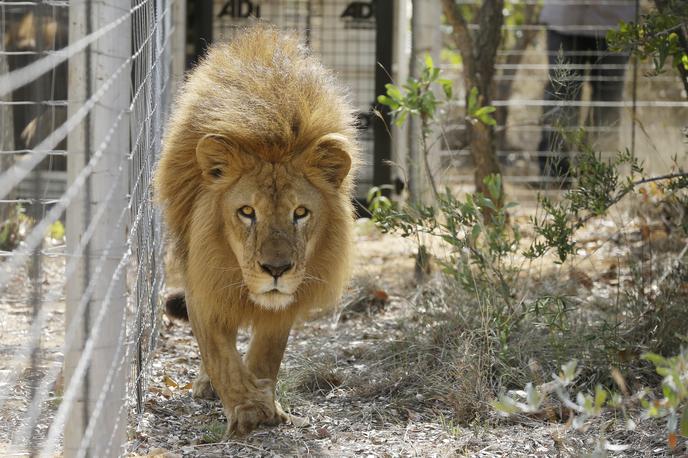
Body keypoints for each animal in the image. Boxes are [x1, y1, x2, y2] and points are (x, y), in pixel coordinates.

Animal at [155, 24, 360, 436]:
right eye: (247, 212)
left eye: (301, 213)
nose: (276, 270)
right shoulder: (204, 282)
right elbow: (220, 356)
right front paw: (249, 408)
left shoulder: (287, 301)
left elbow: (267, 354)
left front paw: (267, 403)